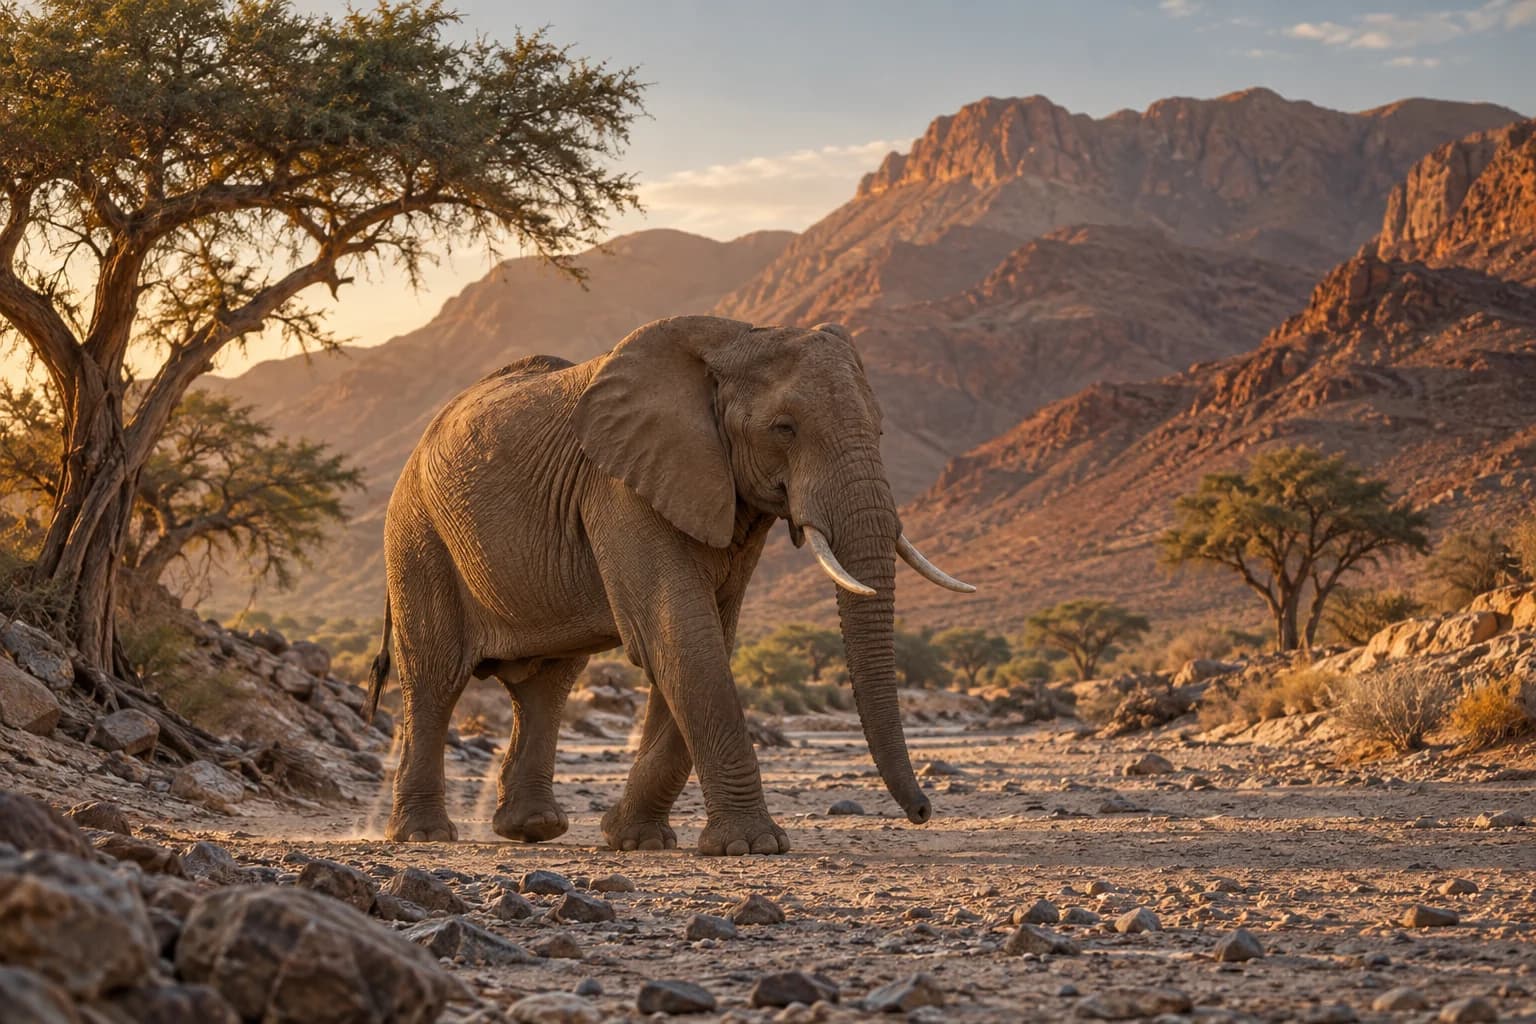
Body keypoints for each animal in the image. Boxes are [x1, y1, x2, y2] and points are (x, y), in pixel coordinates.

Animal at [363, 315, 974, 855]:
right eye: (784, 429)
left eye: (880, 429)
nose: (923, 812)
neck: (733, 340)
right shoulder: (620, 487)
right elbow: (678, 633)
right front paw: (753, 847)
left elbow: (708, 637)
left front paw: (634, 839)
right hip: (417, 535)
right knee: (436, 676)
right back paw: (424, 836)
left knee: (547, 683)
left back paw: (533, 829)